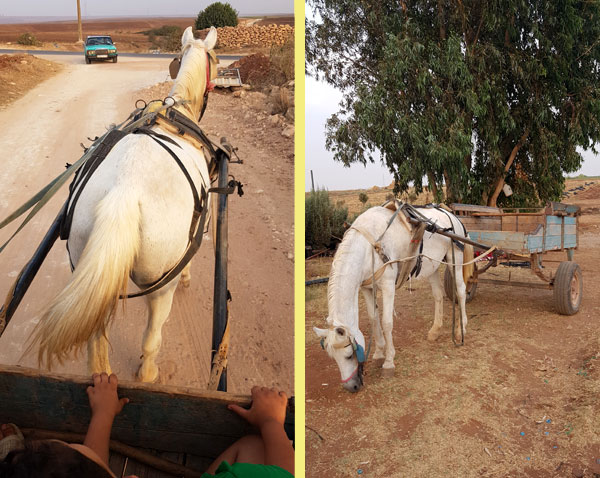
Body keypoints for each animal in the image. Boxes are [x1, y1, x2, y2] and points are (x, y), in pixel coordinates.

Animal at [28, 27, 220, 384]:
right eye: (214, 61)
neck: (176, 115)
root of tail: (124, 191)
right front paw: (189, 277)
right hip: (160, 287)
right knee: (152, 337)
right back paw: (148, 372)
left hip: (92, 276)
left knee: (97, 344)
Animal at [314, 202, 474, 392]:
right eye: (333, 357)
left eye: (348, 355)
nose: (351, 387)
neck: (369, 247)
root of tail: (451, 215)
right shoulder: (367, 288)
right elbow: (373, 318)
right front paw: (378, 353)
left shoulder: (388, 285)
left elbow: (386, 322)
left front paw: (389, 362)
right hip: (432, 265)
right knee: (438, 295)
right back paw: (435, 330)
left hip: (454, 260)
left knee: (461, 290)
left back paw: (461, 330)